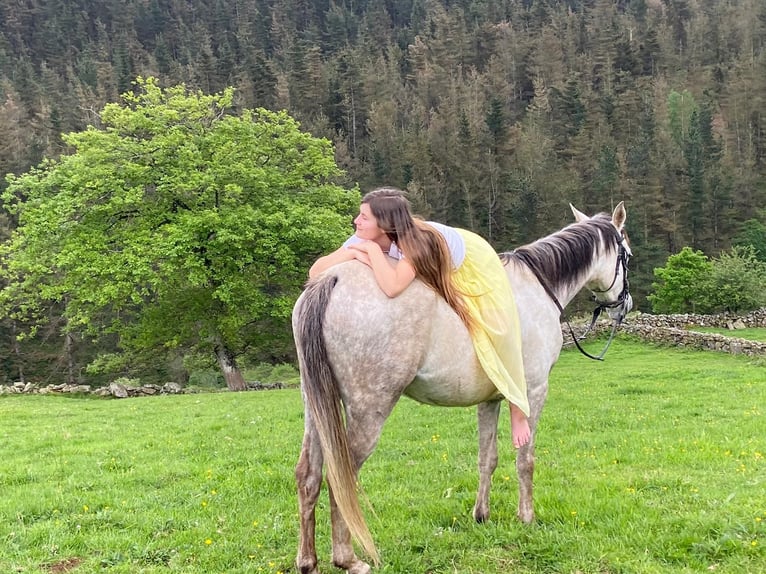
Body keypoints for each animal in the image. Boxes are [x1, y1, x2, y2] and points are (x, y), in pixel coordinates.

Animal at [292, 202, 632, 574]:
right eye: (627, 255)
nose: (625, 305)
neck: (536, 289)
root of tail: (332, 279)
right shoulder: (533, 392)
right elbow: (525, 460)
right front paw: (526, 517)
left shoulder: (492, 399)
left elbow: (488, 458)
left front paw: (481, 515)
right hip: (368, 410)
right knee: (341, 479)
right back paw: (348, 559)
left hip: (317, 408)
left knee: (308, 475)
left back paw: (307, 561)